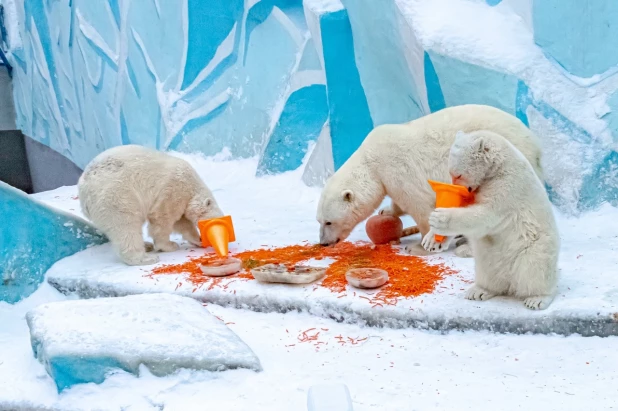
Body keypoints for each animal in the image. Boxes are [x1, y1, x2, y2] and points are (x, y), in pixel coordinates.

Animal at [78, 146, 224, 266]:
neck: (192, 185)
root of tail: (84, 187)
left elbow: (182, 222)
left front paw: (197, 240)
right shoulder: (172, 189)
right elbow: (163, 218)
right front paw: (169, 246)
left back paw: (146, 245)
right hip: (116, 195)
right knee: (126, 225)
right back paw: (145, 258)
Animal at [316, 103, 540, 258]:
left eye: (329, 221)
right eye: (319, 220)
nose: (323, 243)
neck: (371, 161)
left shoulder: (398, 169)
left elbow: (420, 206)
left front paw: (420, 246)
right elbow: (398, 203)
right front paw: (386, 211)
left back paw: (466, 248)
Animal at [428, 130, 560, 310]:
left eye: (458, 175)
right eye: (451, 173)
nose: (454, 184)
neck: (499, 166)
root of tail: (511, 279)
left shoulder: (508, 186)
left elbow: (486, 215)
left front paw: (438, 218)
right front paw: (433, 240)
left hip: (535, 247)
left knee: (534, 269)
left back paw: (537, 298)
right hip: (489, 256)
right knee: (488, 272)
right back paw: (479, 291)